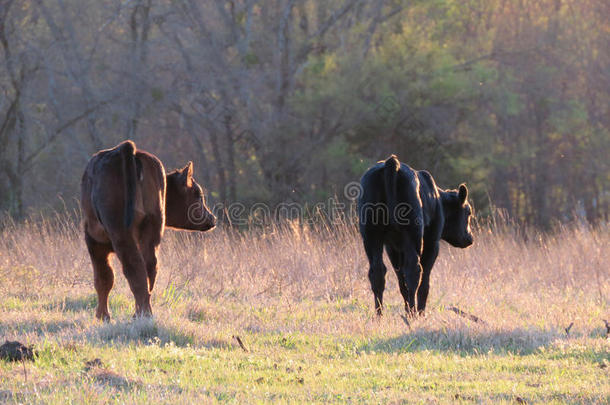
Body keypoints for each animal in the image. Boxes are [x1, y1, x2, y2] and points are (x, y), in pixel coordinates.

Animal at [79, 140, 215, 320]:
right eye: (198, 194)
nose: (212, 218)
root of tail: (127, 148)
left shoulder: (94, 241)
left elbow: (103, 278)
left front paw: (103, 316)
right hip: (153, 227)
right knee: (150, 266)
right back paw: (143, 313)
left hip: (120, 233)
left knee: (133, 267)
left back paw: (140, 313)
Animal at [358, 155, 472, 316]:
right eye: (468, 212)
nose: (470, 238)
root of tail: (391, 162)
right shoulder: (432, 242)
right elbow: (424, 281)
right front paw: (420, 311)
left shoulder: (391, 246)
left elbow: (401, 280)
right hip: (413, 233)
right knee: (414, 270)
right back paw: (413, 314)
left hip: (370, 234)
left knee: (377, 272)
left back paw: (380, 315)